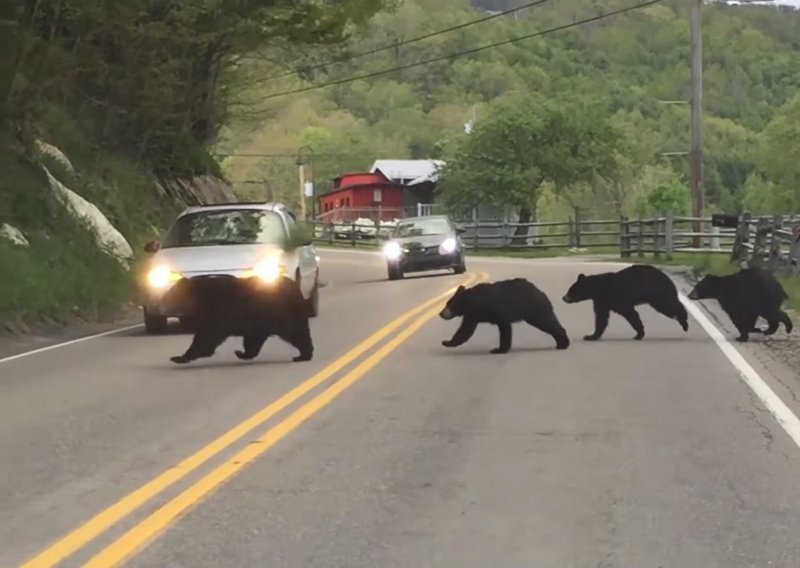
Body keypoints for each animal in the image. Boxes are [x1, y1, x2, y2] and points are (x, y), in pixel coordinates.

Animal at [159, 274, 312, 364]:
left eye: (169, 296)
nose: (159, 306)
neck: (199, 299)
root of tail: (296, 288)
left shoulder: (220, 310)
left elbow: (207, 335)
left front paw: (179, 357)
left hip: (283, 314)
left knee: (296, 333)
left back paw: (303, 355)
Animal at [438, 278, 568, 352]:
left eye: (449, 304)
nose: (441, 313)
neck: (474, 302)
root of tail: (540, 292)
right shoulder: (472, 315)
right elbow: (465, 330)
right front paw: (447, 342)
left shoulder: (497, 311)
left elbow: (505, 329)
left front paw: (498, 349)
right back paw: (560, 343)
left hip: (534, 310)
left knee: (546, 322)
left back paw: (563, 343)